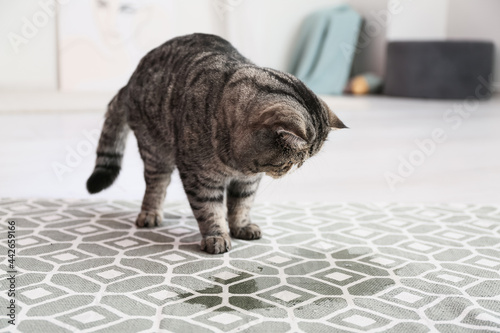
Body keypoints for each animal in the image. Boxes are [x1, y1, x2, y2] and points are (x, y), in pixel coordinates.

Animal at [86, 32, 346, 253]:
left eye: (303, 161)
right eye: (292, 161)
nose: (295, 169)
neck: (239, 163)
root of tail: (131, 79)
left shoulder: (248, 181)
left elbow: (241, 205)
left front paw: (242, 227)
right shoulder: (200, 179)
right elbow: (209, 210)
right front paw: (217, 236)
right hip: (155, 152)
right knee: (155, 186)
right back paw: (149, 214)